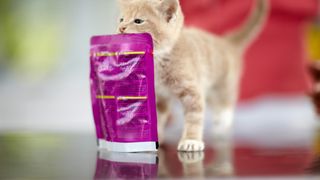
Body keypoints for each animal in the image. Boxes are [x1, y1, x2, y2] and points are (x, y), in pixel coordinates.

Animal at [116, 0, 268, 152]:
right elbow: (158, 116)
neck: (159, 60)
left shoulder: (192, 90)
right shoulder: (159, 95)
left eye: (138, 21)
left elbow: (194, 116)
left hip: (223, 83)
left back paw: (223, 122)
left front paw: (191, 140)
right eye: (121, 19)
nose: (121, 28)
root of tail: (225, 42)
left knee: (226, 101)